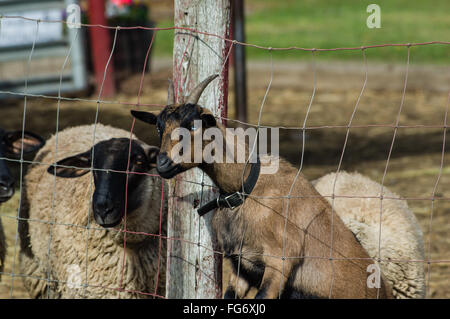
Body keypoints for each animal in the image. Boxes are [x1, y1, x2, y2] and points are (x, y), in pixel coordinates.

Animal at [131, 75, 394, 300]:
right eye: (159, 127)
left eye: (194, 126)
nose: (163, 164)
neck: (246, 189)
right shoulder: (241, 267)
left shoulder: (280, 262)